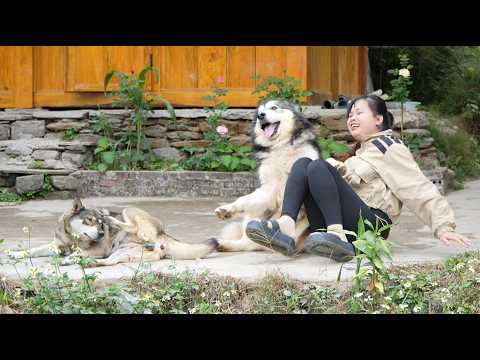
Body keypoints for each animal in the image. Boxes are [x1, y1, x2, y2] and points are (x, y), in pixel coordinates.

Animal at [8, 198, 218, 266]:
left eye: (101, 226)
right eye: (90, 221)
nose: (102, 233)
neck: (72, 238)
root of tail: (163, 235)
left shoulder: (99, 249)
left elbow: (80, 252)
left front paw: (70, 258)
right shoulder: (55, 245)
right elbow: (32, 250)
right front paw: (14, 254)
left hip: (129, 210)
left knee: (134, 228)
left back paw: (114, 221)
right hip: (123, 253)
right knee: (108, 262)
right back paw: (91, 265)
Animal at [213, 98, 318, 253]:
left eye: (274, 107)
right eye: (259, 112)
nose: (260, 116)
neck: (281, 147)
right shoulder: (269, 189)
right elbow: (243, 199)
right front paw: (228, 209)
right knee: (248, 241)